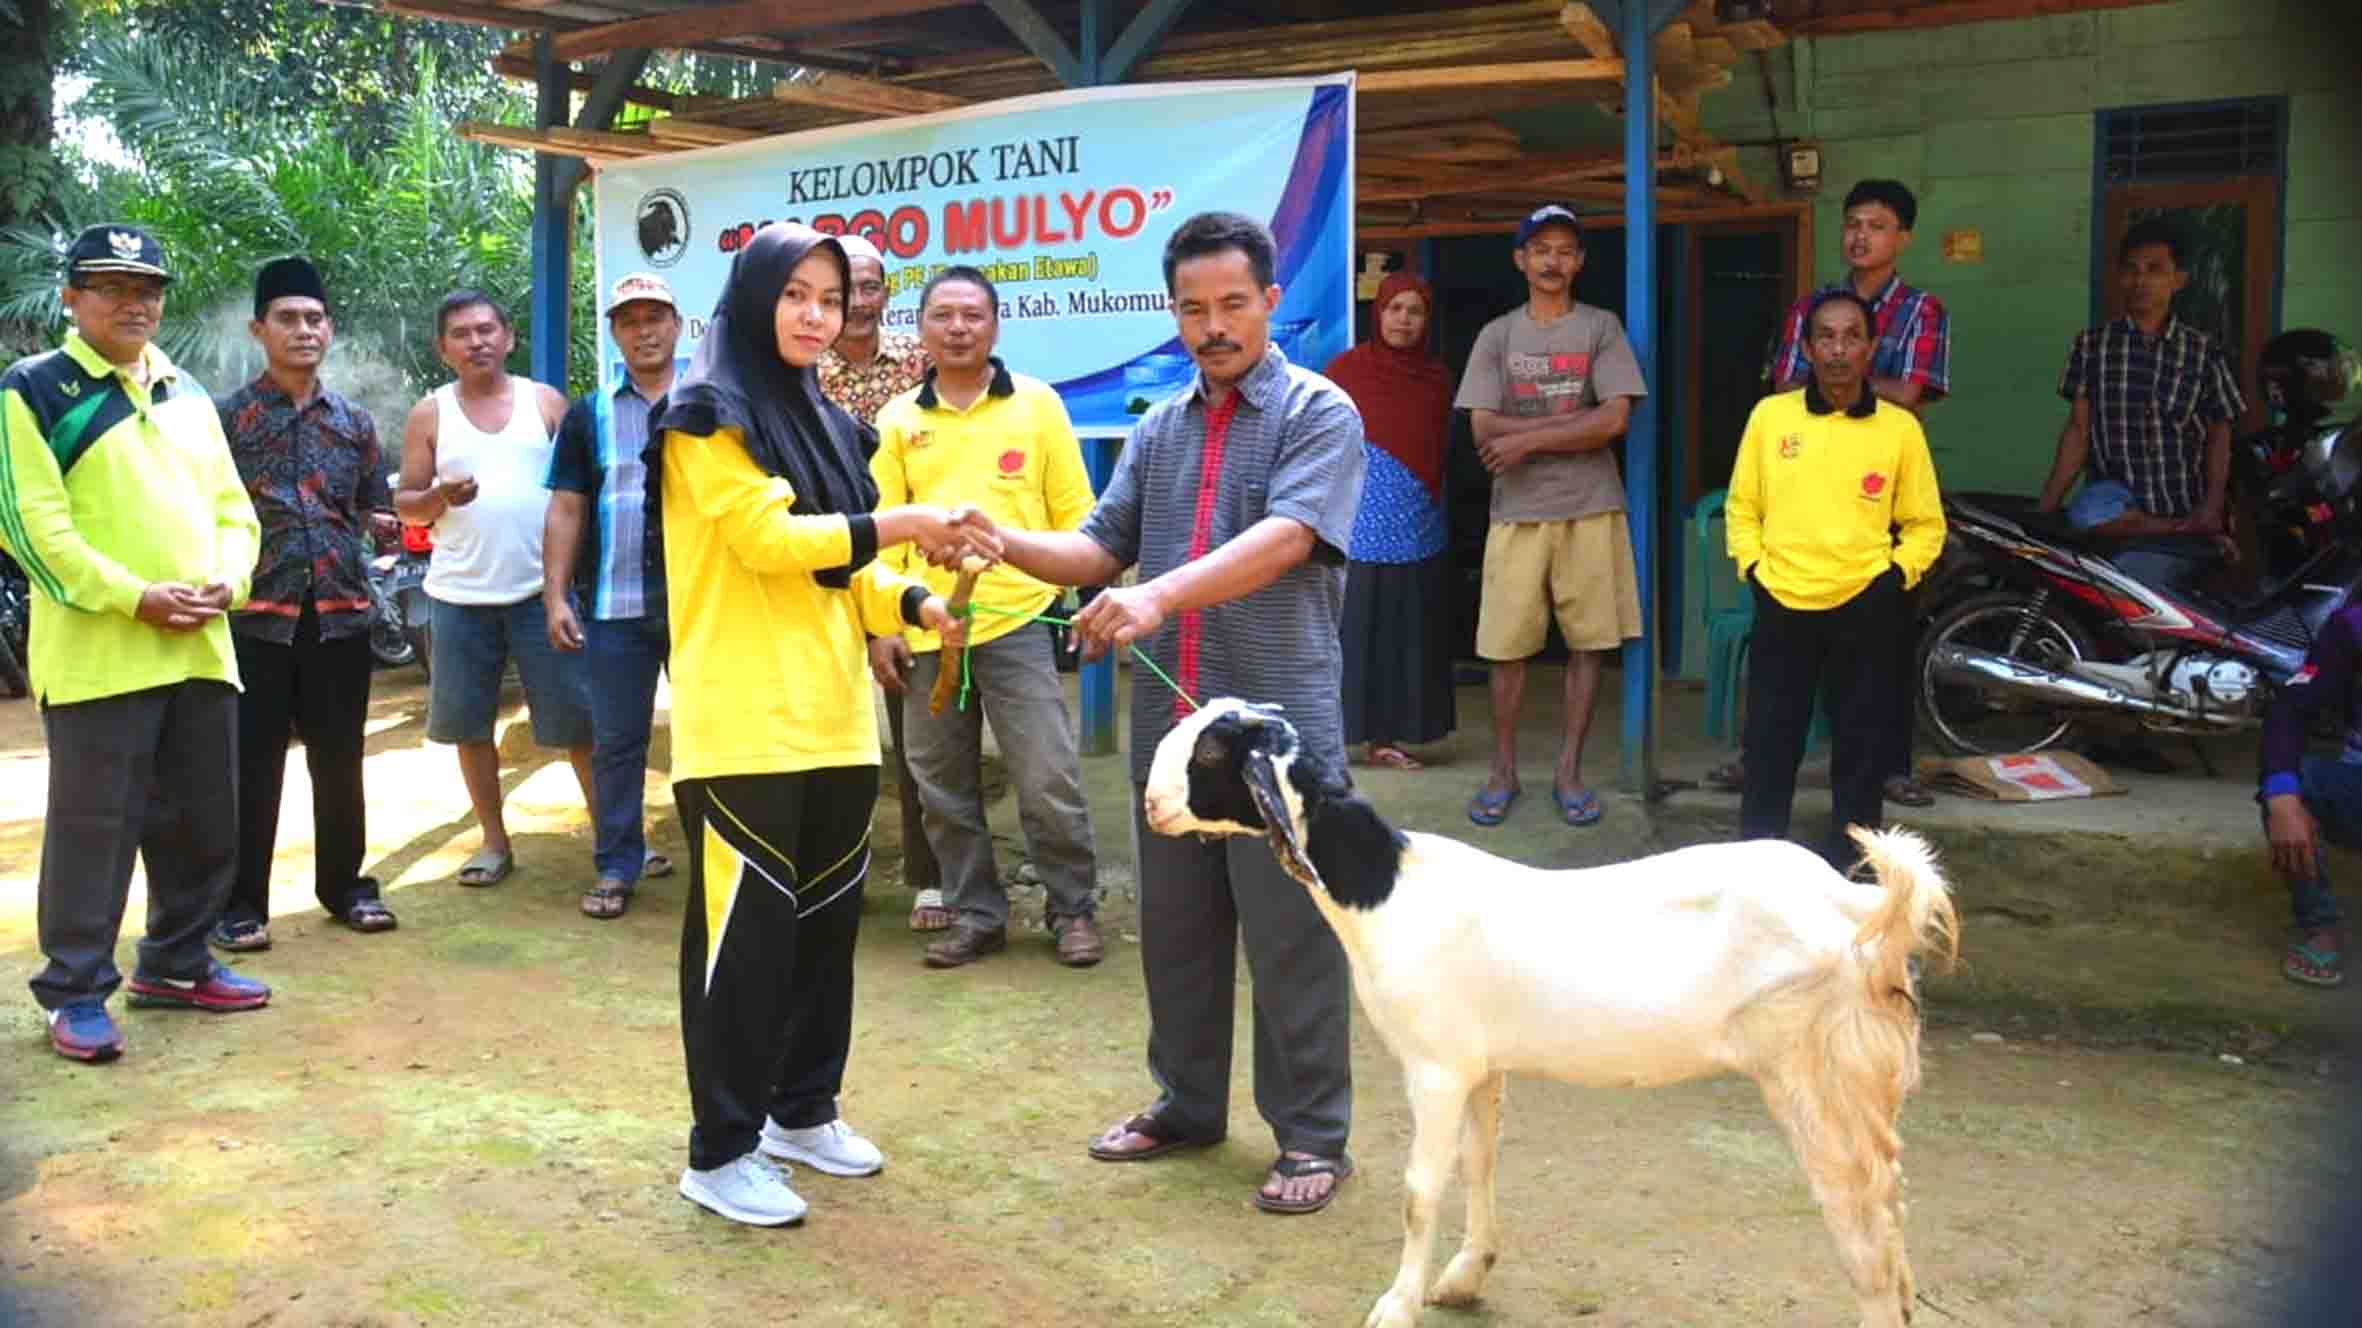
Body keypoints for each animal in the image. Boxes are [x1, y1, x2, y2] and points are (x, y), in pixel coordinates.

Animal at [1143, 699, 1955, 1323]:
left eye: (1211, 752)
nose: (1151, 806)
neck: (1388, 887)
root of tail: (1860, 905)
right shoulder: (1481, 1065)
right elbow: (1479, 1163)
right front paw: (1466, 1275)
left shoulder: (1435, 1067)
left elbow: (1419, 1190)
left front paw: (1397, 1304)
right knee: (1889, 1209)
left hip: (1819, 1074)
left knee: (1861, 1215)